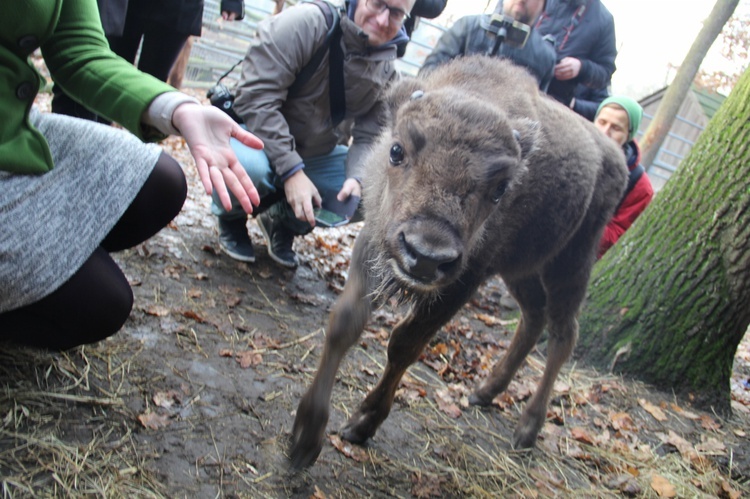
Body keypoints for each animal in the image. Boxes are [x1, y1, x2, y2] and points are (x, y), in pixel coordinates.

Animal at [288, 56, 628, 470]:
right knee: (533, 317)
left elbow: (404, 344)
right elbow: (344, 323)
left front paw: (362, 423)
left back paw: (528, 428)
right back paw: (485, 391)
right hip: (521, 269)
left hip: (571, 261)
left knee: (564, 333)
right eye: (396, 150)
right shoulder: (372, 244)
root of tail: (614, 156)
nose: (425, 255)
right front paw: (305, 436)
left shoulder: (462, 281)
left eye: (501, 188)